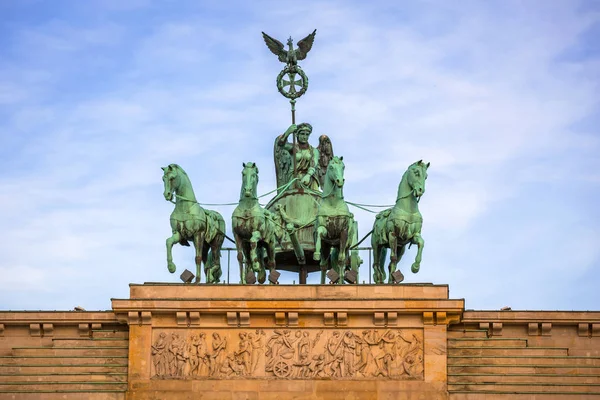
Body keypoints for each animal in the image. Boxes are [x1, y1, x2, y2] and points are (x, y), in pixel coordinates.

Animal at [312, 156, 354, 284]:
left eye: (343, 166)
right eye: (331, 167)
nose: (340, 181)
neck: (333, 203)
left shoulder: (343, 233)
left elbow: (341, 260)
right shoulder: (326, 233)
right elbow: (320, 232)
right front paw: (316, 253)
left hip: (344, 246)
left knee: (342, 262)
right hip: (327, 246)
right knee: (324, 265)